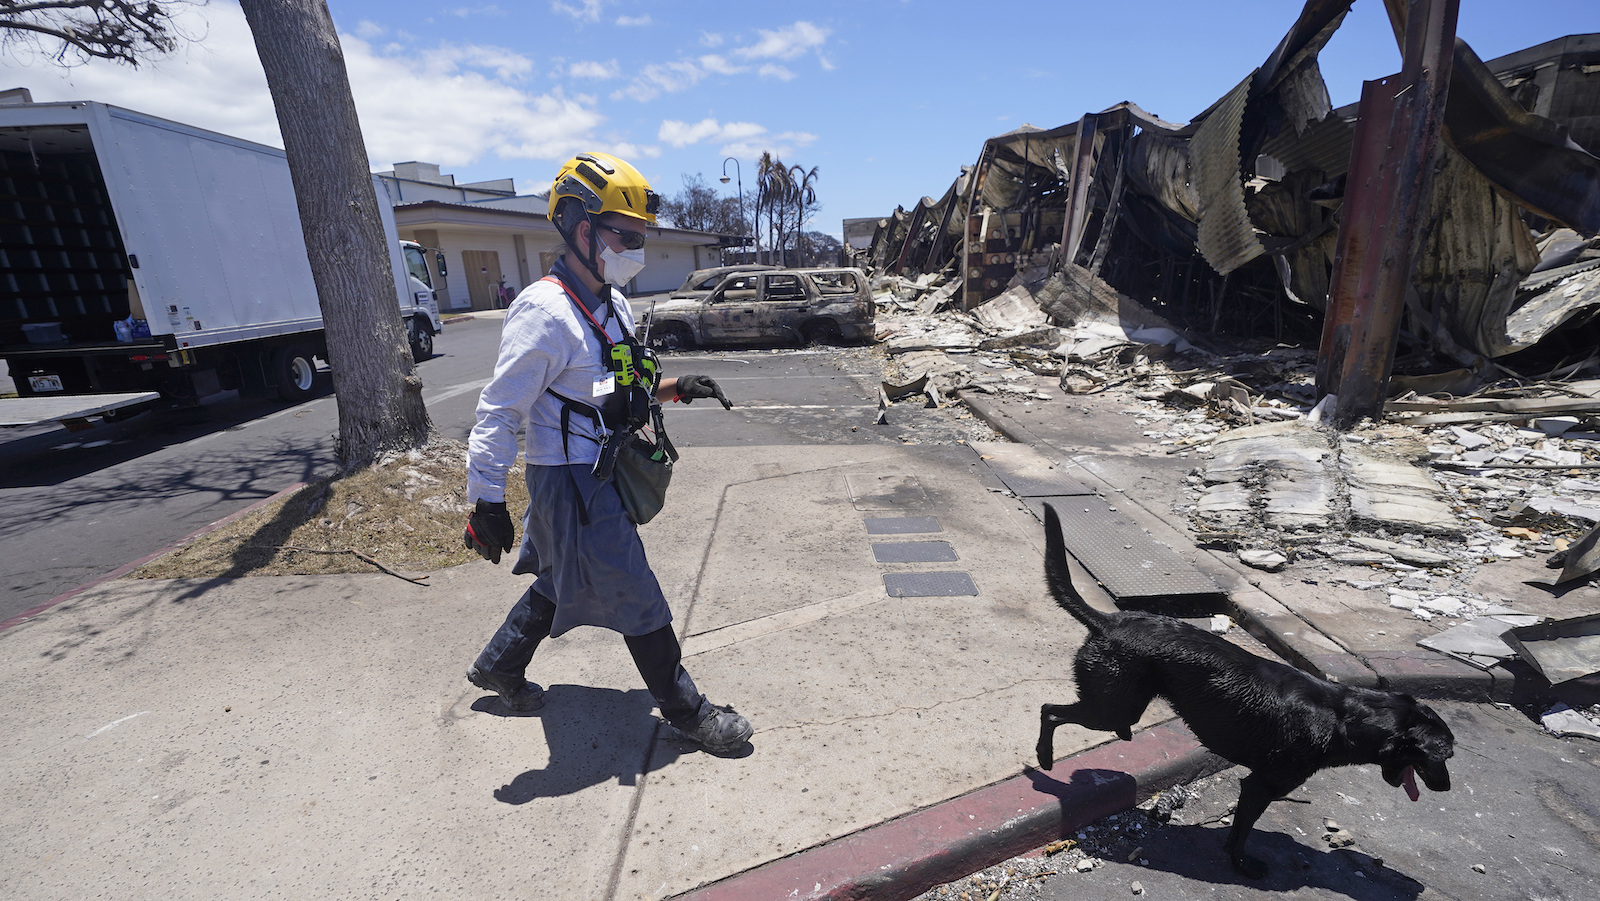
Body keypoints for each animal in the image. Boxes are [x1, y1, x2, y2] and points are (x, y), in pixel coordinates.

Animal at [1036, 505, 1452, 876]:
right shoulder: (1260, 786)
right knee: (1049, 709)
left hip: (1119, 708)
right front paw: (1241, 865)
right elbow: (1242, 832)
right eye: (1444, 754)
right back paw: (1044, 758)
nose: (1448, 787)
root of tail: (1108, 621)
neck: (1342, 716)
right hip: (1113, 710)